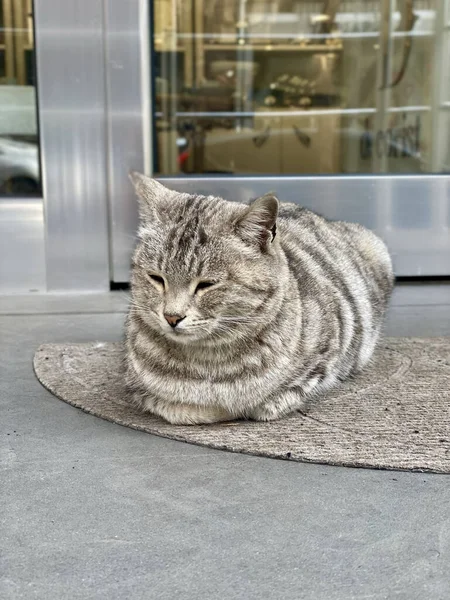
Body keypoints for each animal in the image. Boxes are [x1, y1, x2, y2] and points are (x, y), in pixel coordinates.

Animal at [124, 172, 394, 426]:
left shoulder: (324, 356)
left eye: (206, 284)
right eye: (156, 278)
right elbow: (183, 408)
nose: (172, 317)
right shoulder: (138, 386)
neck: (208, 363)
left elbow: (270, 401)